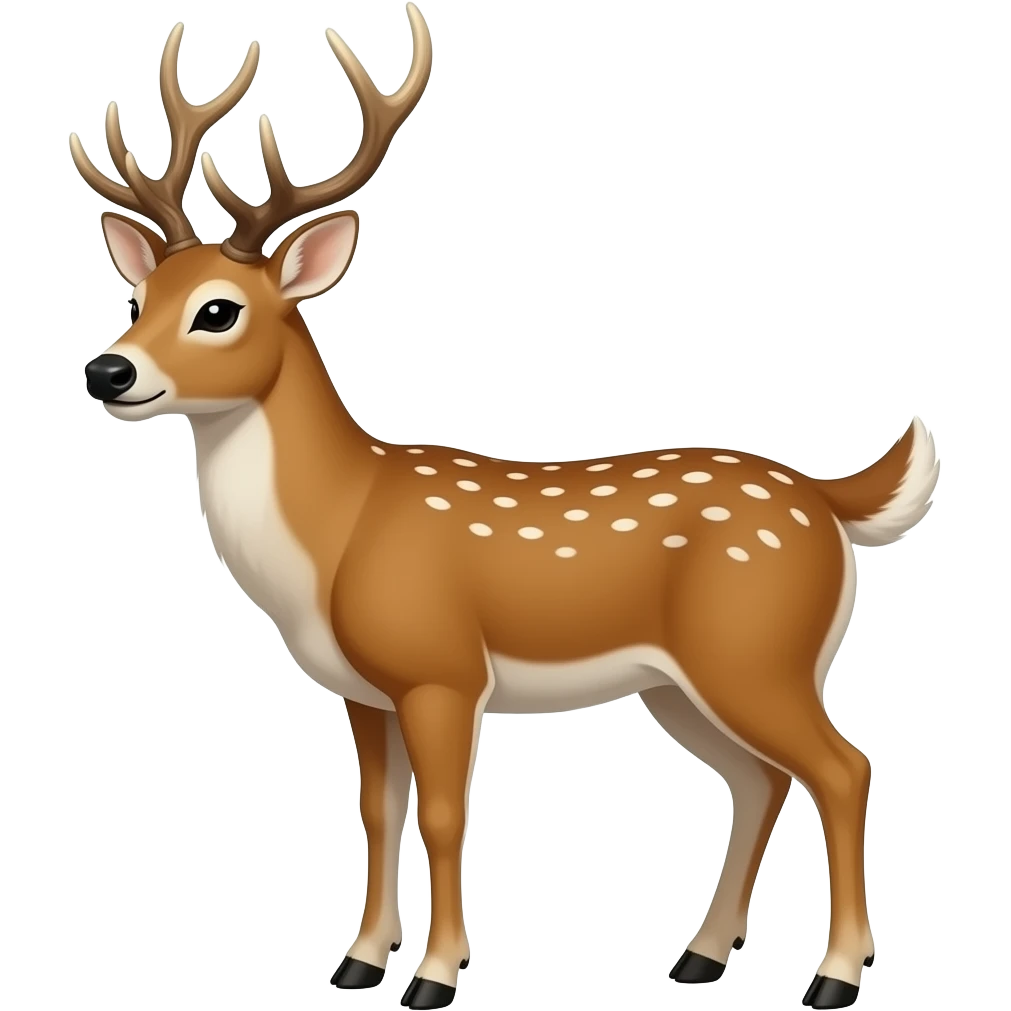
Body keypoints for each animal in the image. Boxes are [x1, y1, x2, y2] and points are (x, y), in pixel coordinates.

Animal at [70, 10, 940, 1010]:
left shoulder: (441, 669)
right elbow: (376, 812)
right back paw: (699, 956)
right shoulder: (362, 689)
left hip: (757, 649)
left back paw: (831, 975)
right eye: (142, 296)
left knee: (842, 768)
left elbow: (446, 816)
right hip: (681, 682)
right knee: (759, 780)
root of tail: (828, 498)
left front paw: (434, 976)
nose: (108, 370)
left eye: (218, 311)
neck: (336, 534)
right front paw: (358, 962)